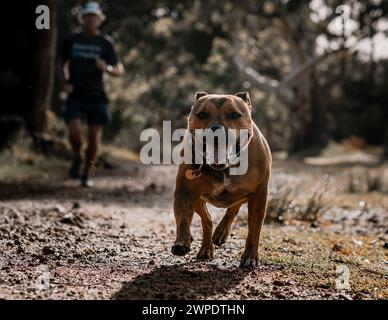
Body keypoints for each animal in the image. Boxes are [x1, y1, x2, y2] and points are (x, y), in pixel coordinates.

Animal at [171, 92, 272, 268]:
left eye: (234, 114)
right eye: (202, 114)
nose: (215, 129)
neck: (223, 168)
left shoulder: (259, 195)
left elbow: (254, 229)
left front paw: (250, 256)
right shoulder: (185, 192)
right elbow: (183, 218)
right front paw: (182, 242)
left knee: (233, 208)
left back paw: (221, 232)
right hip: (198, 200)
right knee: (207, 220)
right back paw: (205, 247)